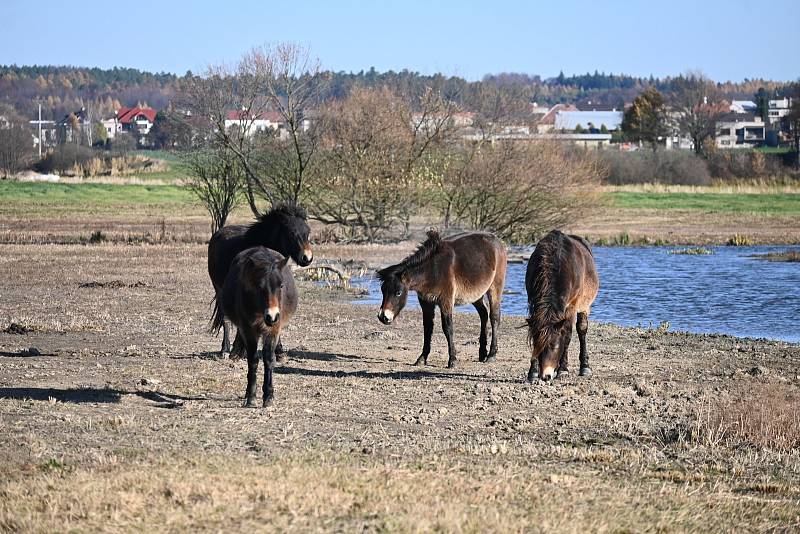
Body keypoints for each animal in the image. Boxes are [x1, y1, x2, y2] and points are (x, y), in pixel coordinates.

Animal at [208, 203, 310, 358]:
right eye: (292, 233)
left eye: (308, 231)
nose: (307, 258)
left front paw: (279, 351)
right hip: (219, 290)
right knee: (225, 318)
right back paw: (226, 349)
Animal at [214, 248, 298, 410]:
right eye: (259, 286)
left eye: (281, 285)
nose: (272, 316)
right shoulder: (249, 330)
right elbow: (253, 360)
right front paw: (251, 396)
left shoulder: (273, 331)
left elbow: (269, 359)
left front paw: (268, 396)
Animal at [376, 228, 506, 370]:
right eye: (382, 291)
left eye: (398, 293)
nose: (383, 317)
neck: (432, 270)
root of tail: (497, 240)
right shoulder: (426, 303)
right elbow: (427, 328)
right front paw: (422, 358)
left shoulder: (446, 301)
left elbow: (448, 328)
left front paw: (452, 360)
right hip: (476, 295)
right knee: (483, 314)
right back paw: (482, 353)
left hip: (494, 288)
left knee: (494, 317)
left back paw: (491, 355)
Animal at [524, 229, 600, 382]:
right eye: (539, 346)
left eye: (555, 346)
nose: (546, 376)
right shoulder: (533, 302)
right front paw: (532, 372)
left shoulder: (571, 306)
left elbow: (567, 335)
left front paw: (563, 369)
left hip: (584, 306)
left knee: (582, 330)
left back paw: (585, 367)